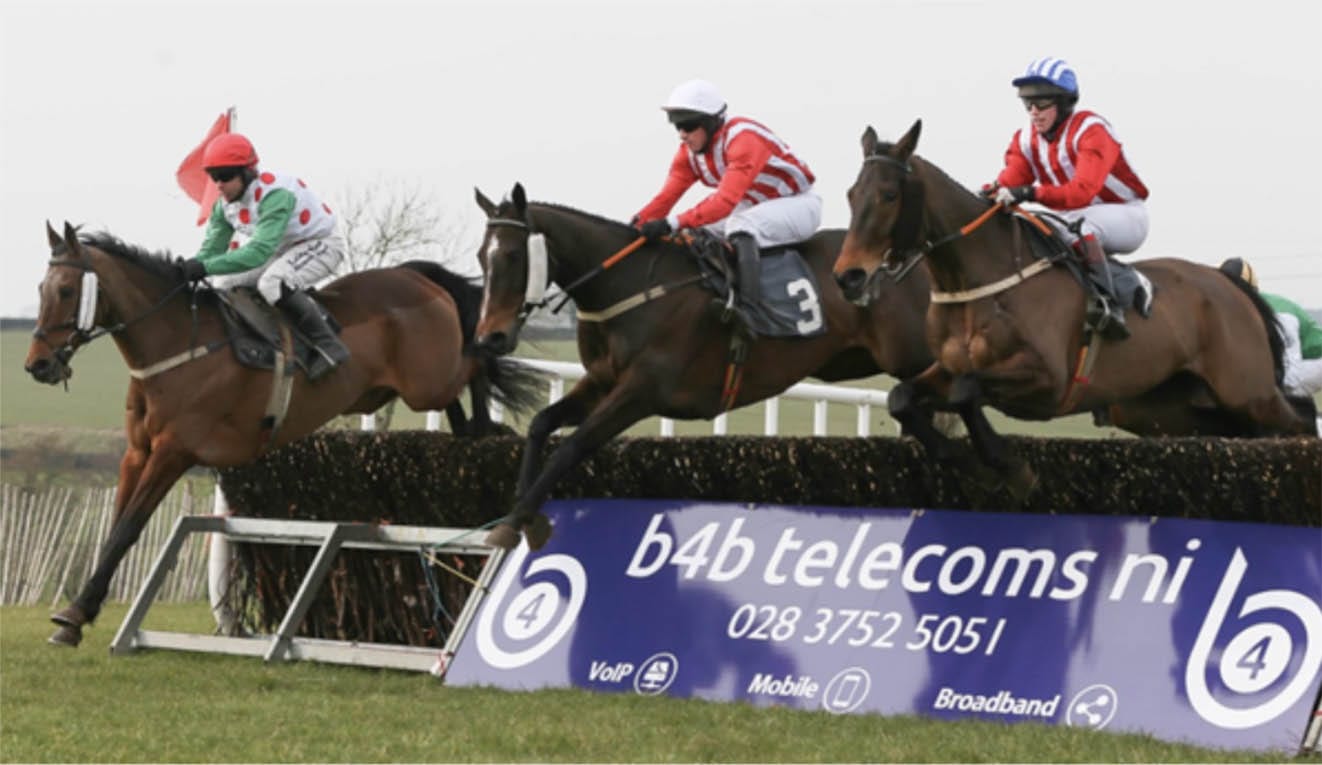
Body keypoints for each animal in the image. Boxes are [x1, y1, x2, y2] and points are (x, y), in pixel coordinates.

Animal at [21, 220, 536, 647]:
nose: (38, 365)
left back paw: (488, 422)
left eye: (65, 289)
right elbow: (115, 525)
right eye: (41, 288)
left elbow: (129, 527)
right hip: (412, 387)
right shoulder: (137, 451)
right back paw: (472, 431)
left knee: (475, 362)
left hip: (427, 379)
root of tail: (416, 275)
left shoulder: (174, 452)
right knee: (457, 405)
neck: (177, 345)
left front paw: (75, 614)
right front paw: (78, 614)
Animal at [470, 182, 935, 546]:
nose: (490, 337)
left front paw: (515, 520)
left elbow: (572, 445)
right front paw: (519, 514)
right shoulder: (601, 381)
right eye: (480, 257)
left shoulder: (641, 390)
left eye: (512, 256)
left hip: (912, 352)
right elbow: (540, 424)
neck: (628, 286)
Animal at [830, 119, 1316, 491]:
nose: (848, 276)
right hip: (1171, 408)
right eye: (852, 194)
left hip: (1247, 390)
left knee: (1301, 419)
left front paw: (1013, 468)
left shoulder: (1048, 379)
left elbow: (968, 390)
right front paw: (970, 465)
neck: (976, 283)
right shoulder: (946, 367)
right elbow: (902, 398)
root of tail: (1227, 283)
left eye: (889, 195)